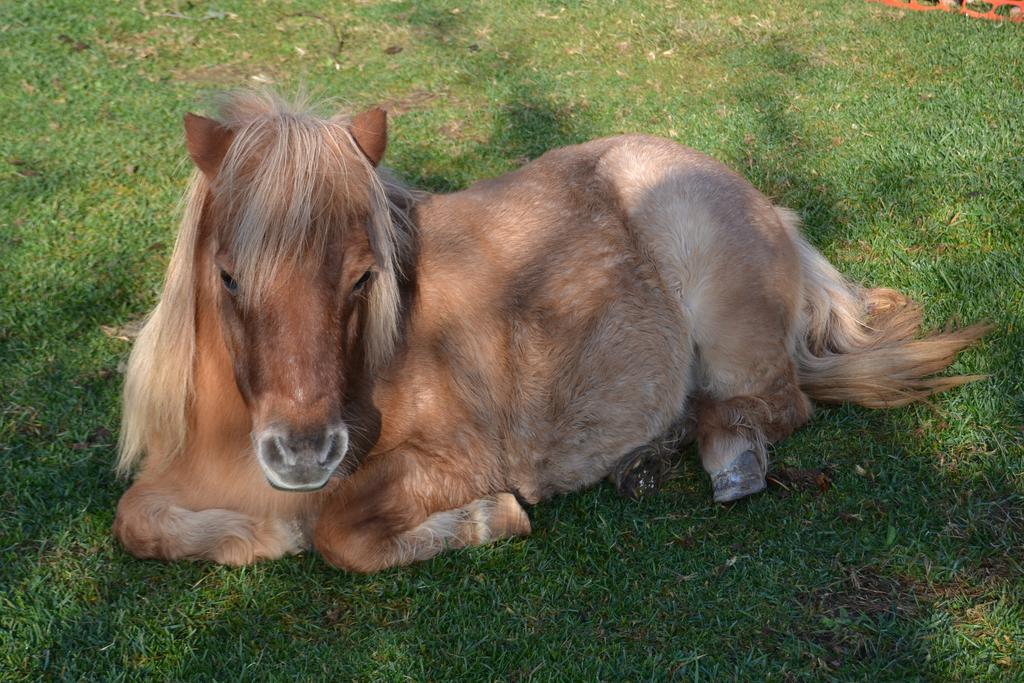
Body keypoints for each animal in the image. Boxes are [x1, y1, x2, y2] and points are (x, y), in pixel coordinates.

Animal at [116, 92, 987, 573]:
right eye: (229, 276)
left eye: (363, 276)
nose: (303, 454)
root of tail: (768, 204)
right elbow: (136, 519)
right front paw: (253, 536)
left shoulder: (456, 458)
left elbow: (339, 528)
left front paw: (487, 520)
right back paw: (648, 458)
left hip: (730, 328)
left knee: (773, 404)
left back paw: (726, 463)